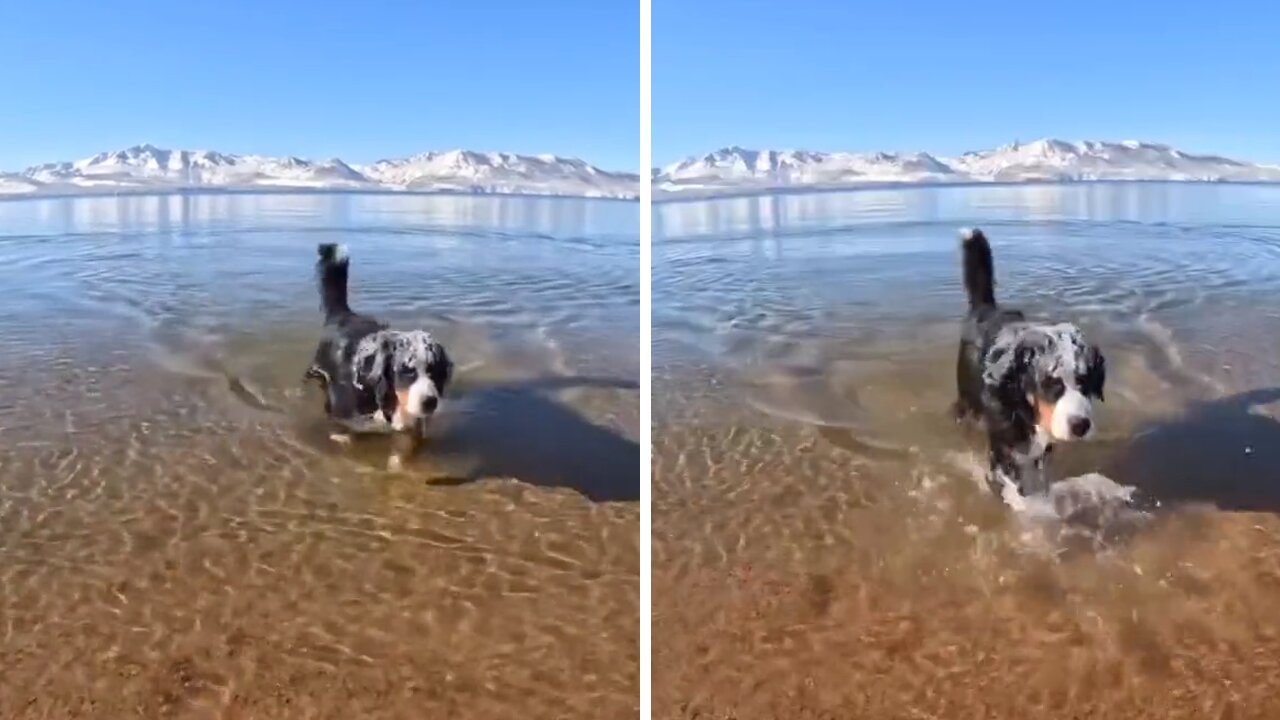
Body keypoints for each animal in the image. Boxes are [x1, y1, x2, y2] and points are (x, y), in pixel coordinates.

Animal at [304, 242, 455, 471]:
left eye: (435, 372)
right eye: (406, 371)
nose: (430, 402)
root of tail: (344, 314)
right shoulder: (340, 411)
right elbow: (340, 432)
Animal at [957, 228, 1105, 499]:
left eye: (1085, 381)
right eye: (1049, 383)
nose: (1080, 425)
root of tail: (986, 308)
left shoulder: (1041, 450)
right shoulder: (1002, 448)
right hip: (966, 400)